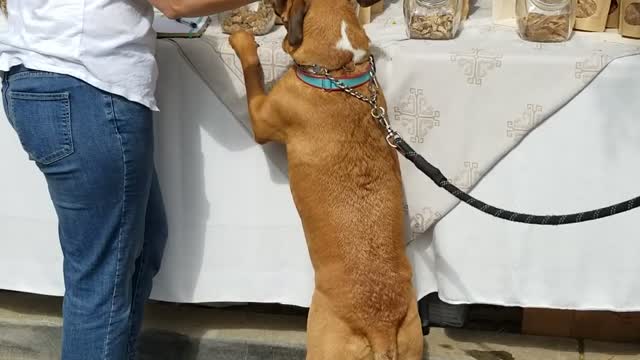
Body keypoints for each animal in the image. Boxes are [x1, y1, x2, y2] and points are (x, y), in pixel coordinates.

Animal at [230, 0, 424, 358]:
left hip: (321, 341)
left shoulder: (262, 114)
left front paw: (243, 40)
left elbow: (253, 71)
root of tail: (380, 327)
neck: (339, 70)